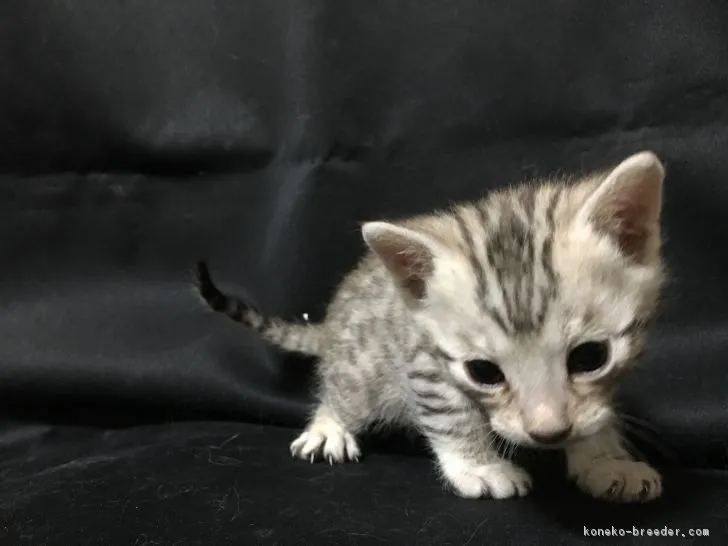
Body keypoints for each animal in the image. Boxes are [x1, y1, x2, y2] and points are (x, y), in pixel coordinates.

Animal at [193, 150, 664, 502]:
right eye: (483, 372)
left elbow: (598, 414)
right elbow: (452, 415)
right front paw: (480, 465)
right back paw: (328, 426)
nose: (549, 433)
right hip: (361, 369)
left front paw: (605, 459)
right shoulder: (424, 363)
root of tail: (334, 318)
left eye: (591, 357)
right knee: (342, 390)